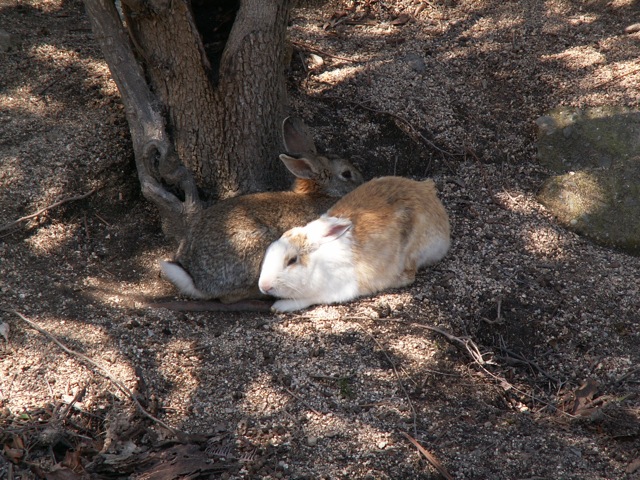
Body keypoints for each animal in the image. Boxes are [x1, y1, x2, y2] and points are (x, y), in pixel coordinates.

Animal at [255, 175, 450, 312]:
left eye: (292, 260)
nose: (264, 286)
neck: (317, 263)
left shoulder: (334, 290)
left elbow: (306, 300)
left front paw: (279, 307)